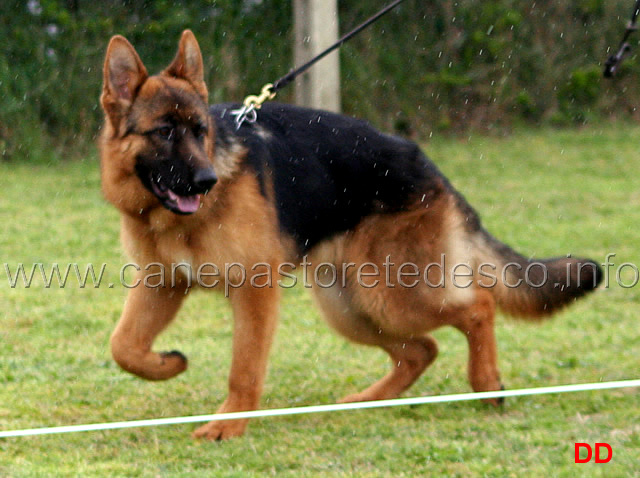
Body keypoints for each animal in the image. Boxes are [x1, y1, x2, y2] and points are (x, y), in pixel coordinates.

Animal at [99, 30, 600, 440]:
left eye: (200, 130)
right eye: (164, 132)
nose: (206, 181)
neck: (170, 218)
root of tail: (429, 167)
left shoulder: (254, 293)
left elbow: (243, 368)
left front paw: (228, 425)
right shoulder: (161, 285)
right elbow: (123, 346)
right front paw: (167, 364)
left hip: (388, 293)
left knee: (478, 305)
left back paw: (485, 384)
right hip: (350, 306)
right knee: (422, 349)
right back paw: (367, 402)